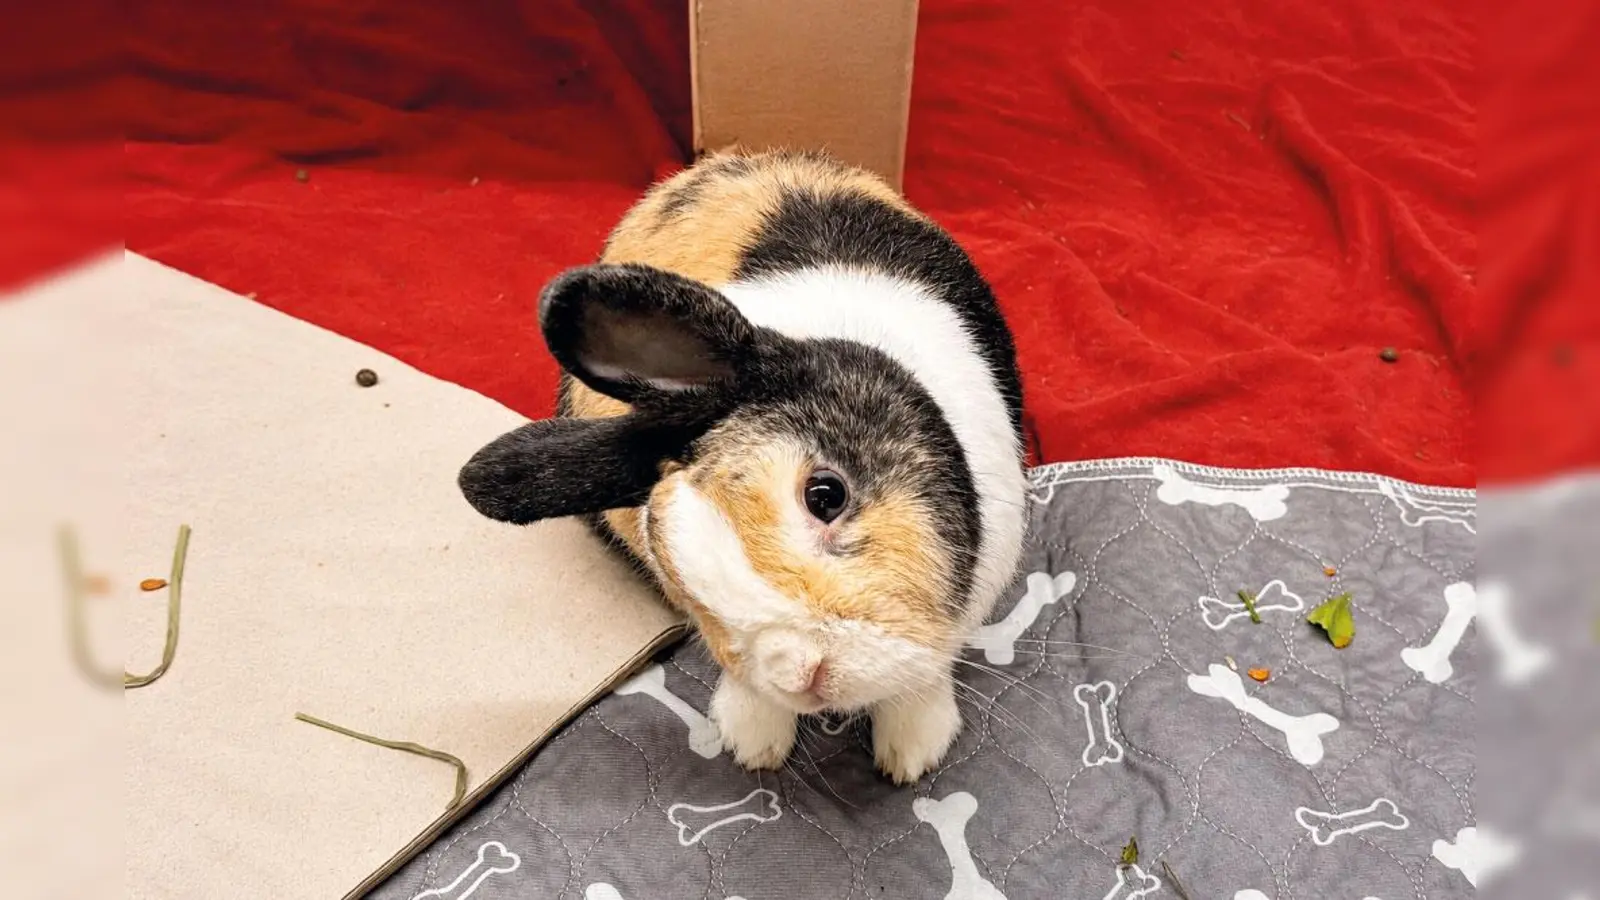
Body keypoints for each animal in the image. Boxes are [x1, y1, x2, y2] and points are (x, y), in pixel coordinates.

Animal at [458, 149, 1028, 784]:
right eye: (674, 568)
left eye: (826, 495)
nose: (803, 673)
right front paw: (752, 743)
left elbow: (927, 675)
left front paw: (912, 754)